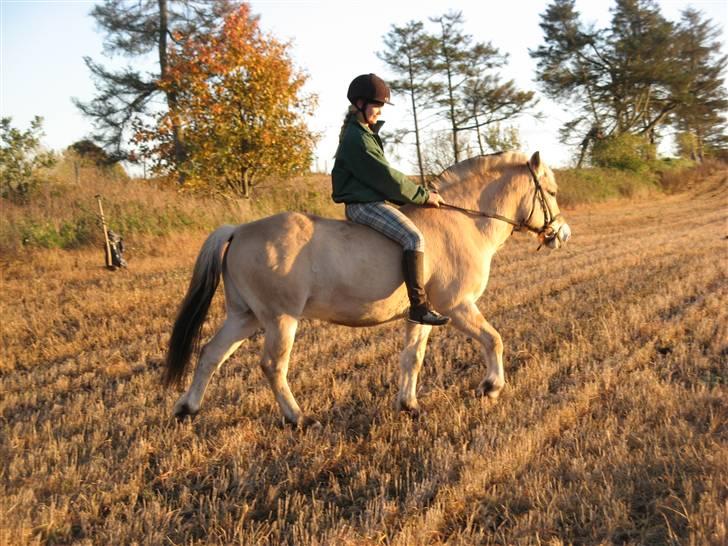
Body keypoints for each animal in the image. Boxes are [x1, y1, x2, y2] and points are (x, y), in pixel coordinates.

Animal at [162, 150, 572, 424]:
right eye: (551, 192)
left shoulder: (423, 315)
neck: (463, 221)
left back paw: (187, 409)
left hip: (244, 316)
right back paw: (297, 418)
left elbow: (412, 357)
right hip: (280, 319)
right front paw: (491, 387)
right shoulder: (458, 307)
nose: (563, 234)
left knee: (211, 354)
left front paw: (409, 405)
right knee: (272, 366)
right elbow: (494, 339)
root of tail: (239, 229)